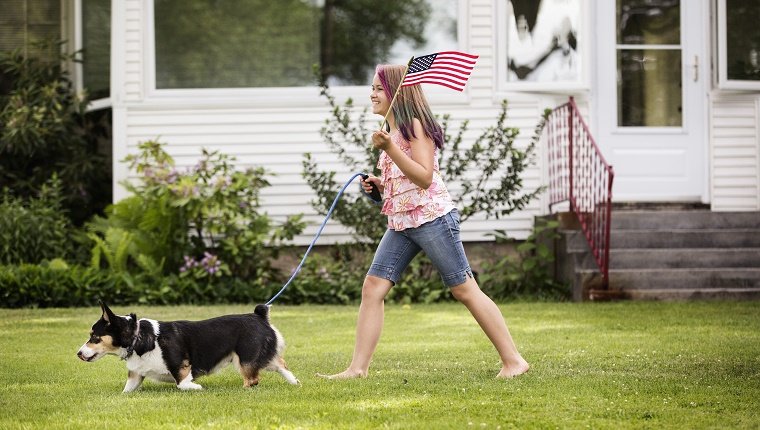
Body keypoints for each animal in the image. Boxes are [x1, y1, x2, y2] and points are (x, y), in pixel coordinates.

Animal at [78, 302, 298, 390]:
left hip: (245, 360)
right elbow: (126, 391)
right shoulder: (135, 376)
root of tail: (259, 316)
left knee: (253, 380)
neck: (138, 337)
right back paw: (295, 383)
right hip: (262, 357)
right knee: (281, 364)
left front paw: (198, 388)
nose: (78, 354)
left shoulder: (181, 368)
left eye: (94, 337)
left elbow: (183, 385)